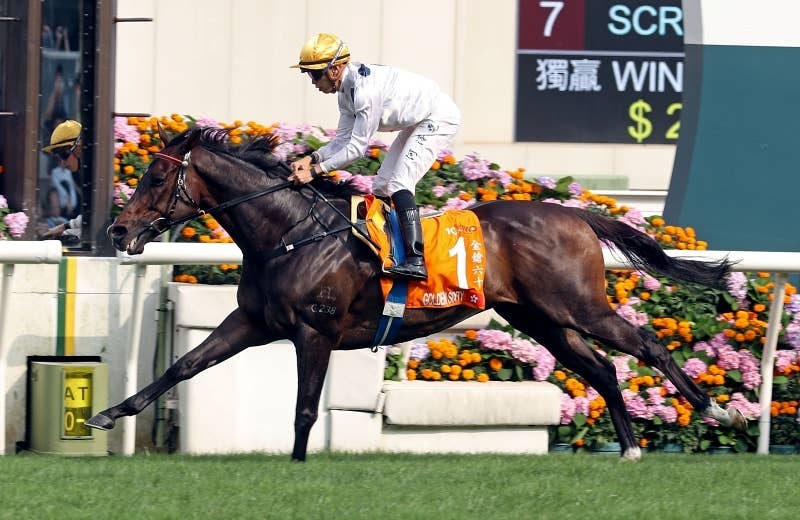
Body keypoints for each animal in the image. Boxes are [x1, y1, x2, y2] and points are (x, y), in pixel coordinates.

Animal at [87, 125, 746, 461]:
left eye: (155, 177)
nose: (117, 231)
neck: (291, 235)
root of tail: (576, 214)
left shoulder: (314, 331)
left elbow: (304, 407)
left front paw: (298, 467)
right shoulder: (253, 323)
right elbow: (183, 366)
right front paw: (108, 414)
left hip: (579, 306)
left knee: (647, 346)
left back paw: (715, 409)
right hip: (542, 321)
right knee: (606, 369)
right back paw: (632, 449)